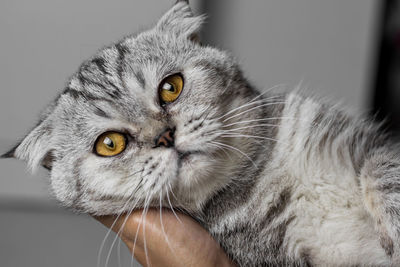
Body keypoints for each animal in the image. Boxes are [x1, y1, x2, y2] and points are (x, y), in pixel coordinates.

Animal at [3, 0, 400, 266]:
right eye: (110, 144)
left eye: (170, 87)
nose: (165, 136)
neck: (264, 178)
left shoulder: (367, 143)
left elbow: (383, 175)